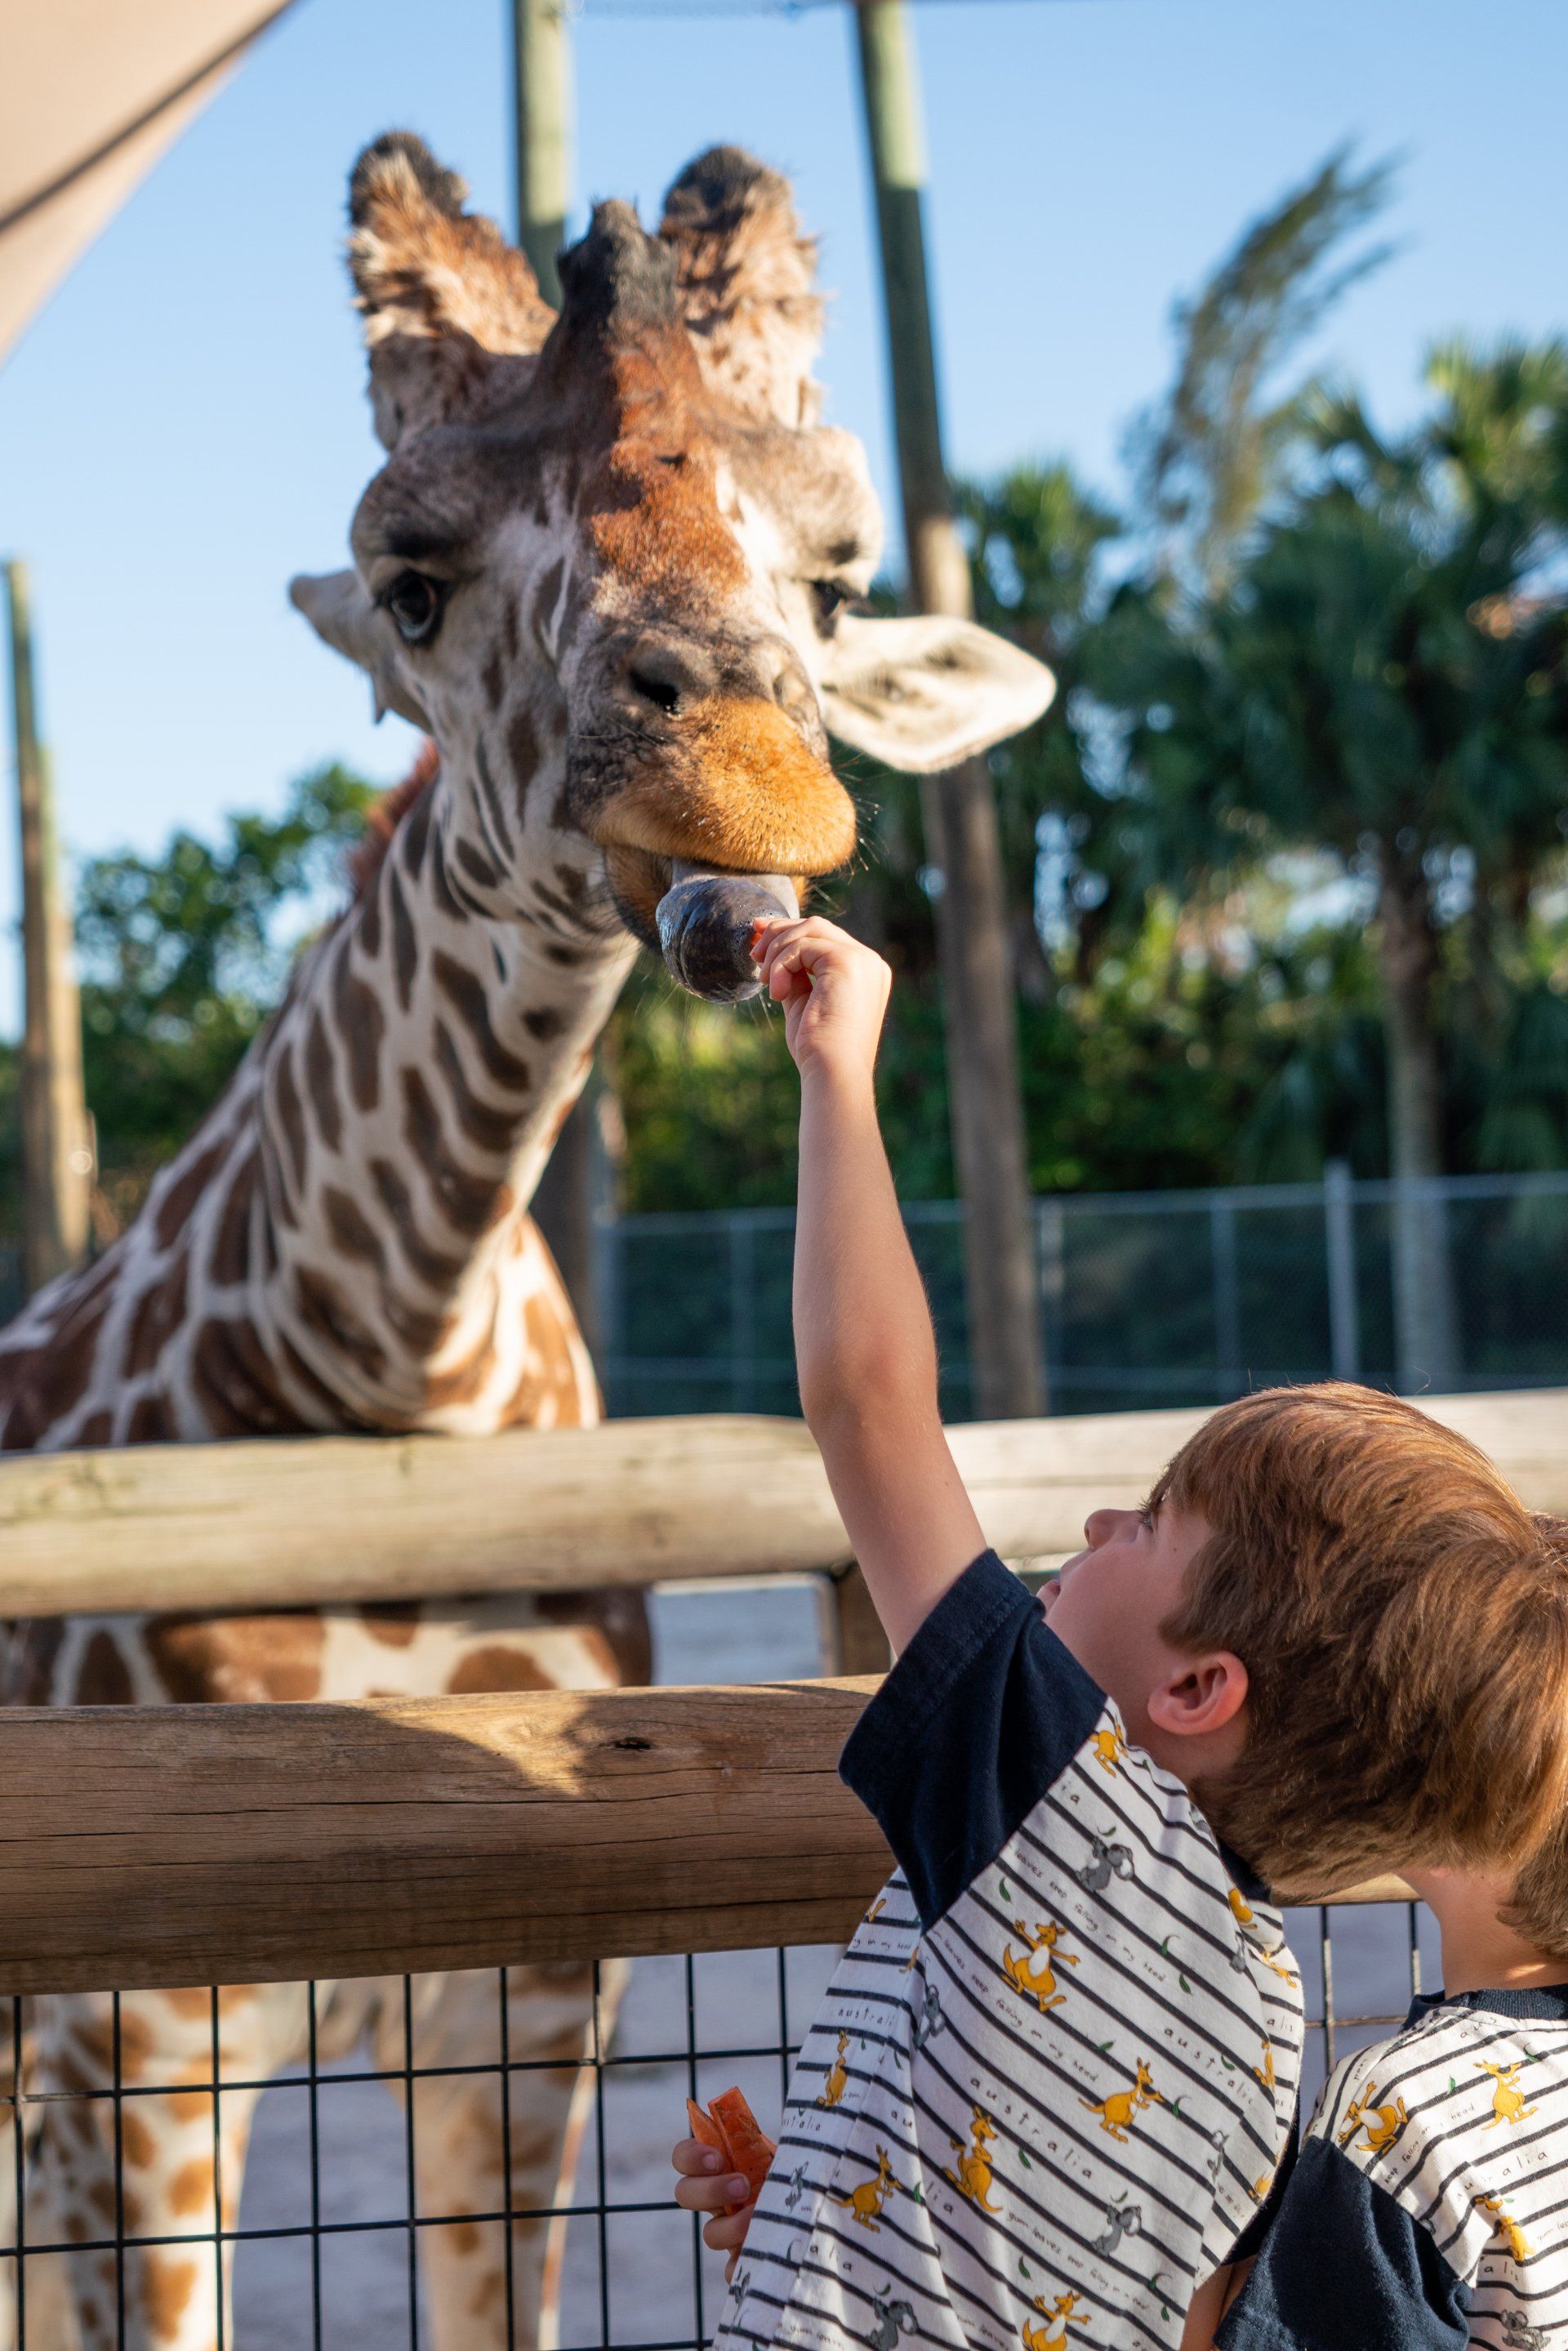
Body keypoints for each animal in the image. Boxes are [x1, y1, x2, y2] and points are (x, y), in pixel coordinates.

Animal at [0, 133, 1054, 2351]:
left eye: (835, 585)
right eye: (411, 580)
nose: (733, 757)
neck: (403, 1368)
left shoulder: (530, 1985)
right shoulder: (132, 2031)